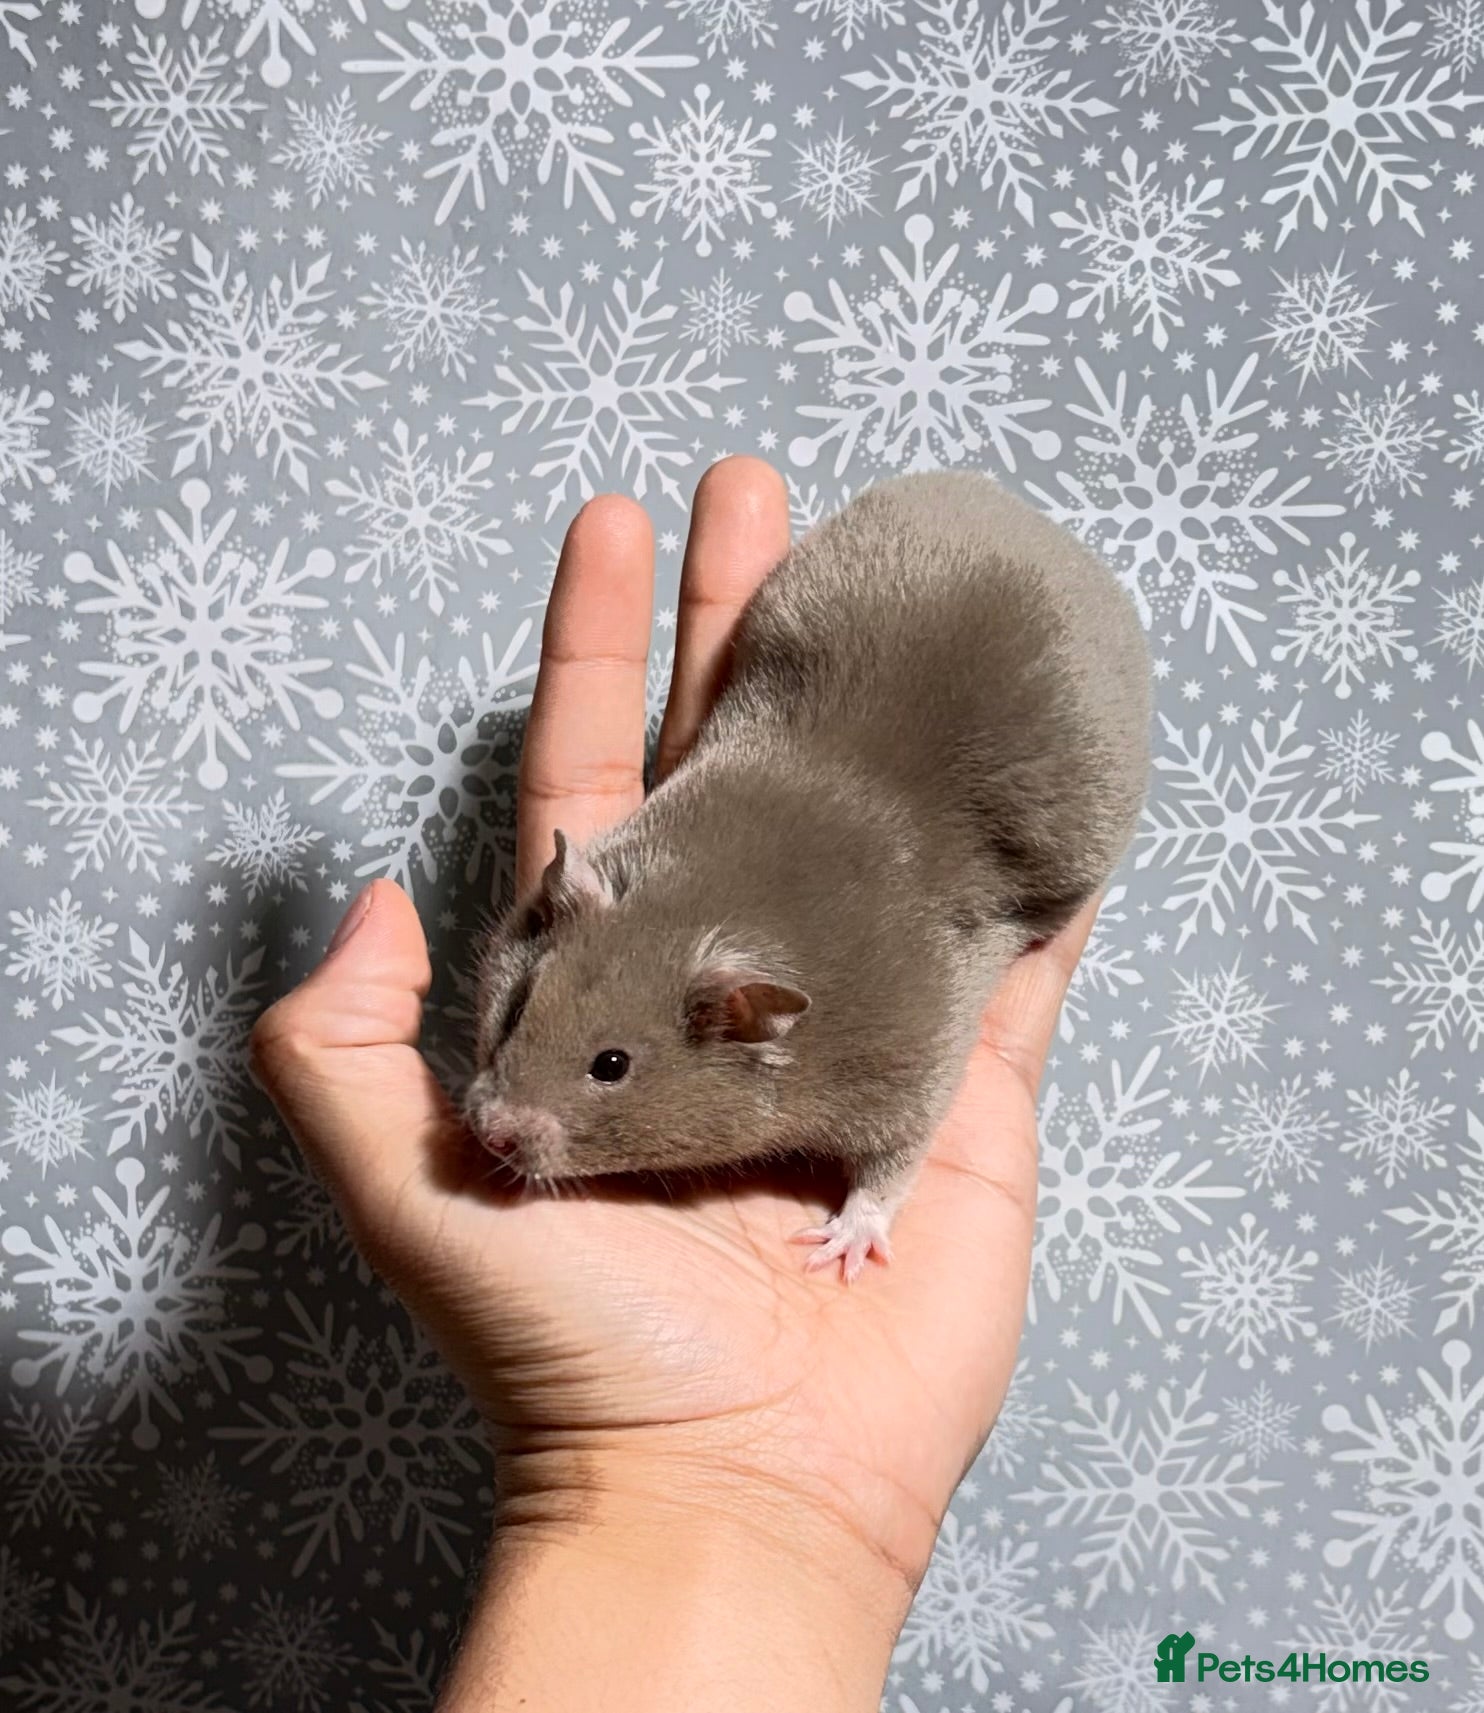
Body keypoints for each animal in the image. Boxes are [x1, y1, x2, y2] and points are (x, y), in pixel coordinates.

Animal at [463, 470, 1152, 1281]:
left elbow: (893, 1165)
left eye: (612, 1065)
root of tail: (1046, 528)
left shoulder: (912, 1072)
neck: (714, 906)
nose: (489, 1133)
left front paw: (837, 1248)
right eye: (516, 1008)